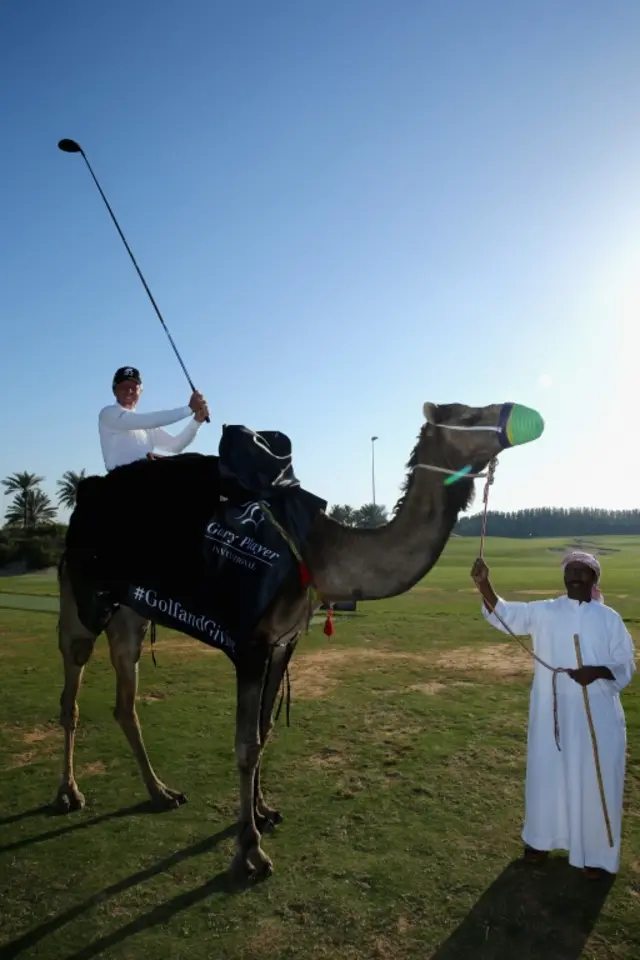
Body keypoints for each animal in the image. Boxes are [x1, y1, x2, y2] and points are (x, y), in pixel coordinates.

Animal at [56, 398, 544, 876]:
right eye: (468, 416)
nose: (520, 413)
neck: (320, 553)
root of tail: (81, 506)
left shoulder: (283, 643)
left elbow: (265, 729)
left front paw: (263, 812)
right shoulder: (249, 647)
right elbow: (246, 744)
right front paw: (249, 851)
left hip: (130, 614)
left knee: (125, 702)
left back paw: (161, 792)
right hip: (84, 602)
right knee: (71, 690)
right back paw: (69, 793)